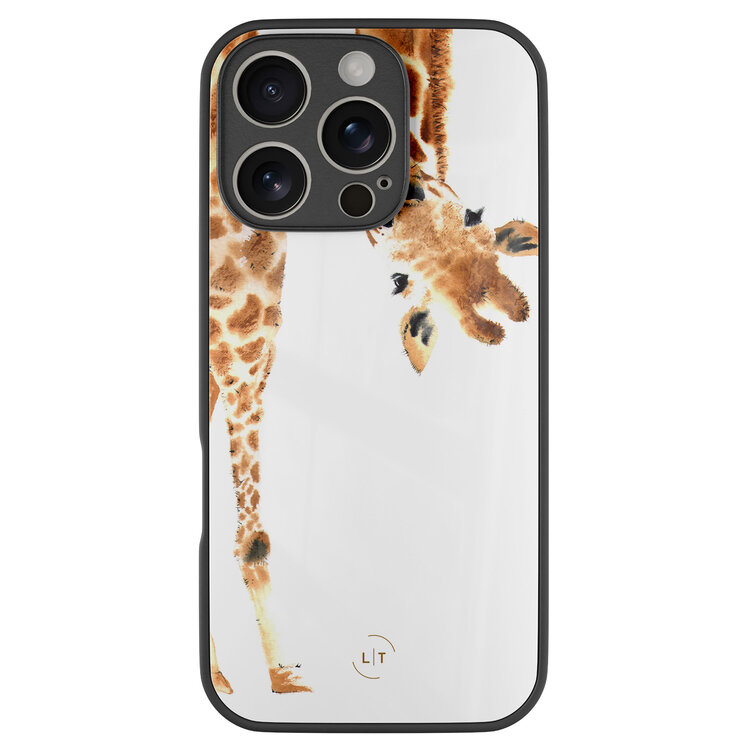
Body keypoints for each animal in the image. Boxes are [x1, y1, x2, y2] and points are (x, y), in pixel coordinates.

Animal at [207, 27, 539, 696]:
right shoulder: (237, 320)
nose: (502, 316)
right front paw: (284, 678)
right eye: (396, 279)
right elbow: (252, 537)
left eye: (476, 214)